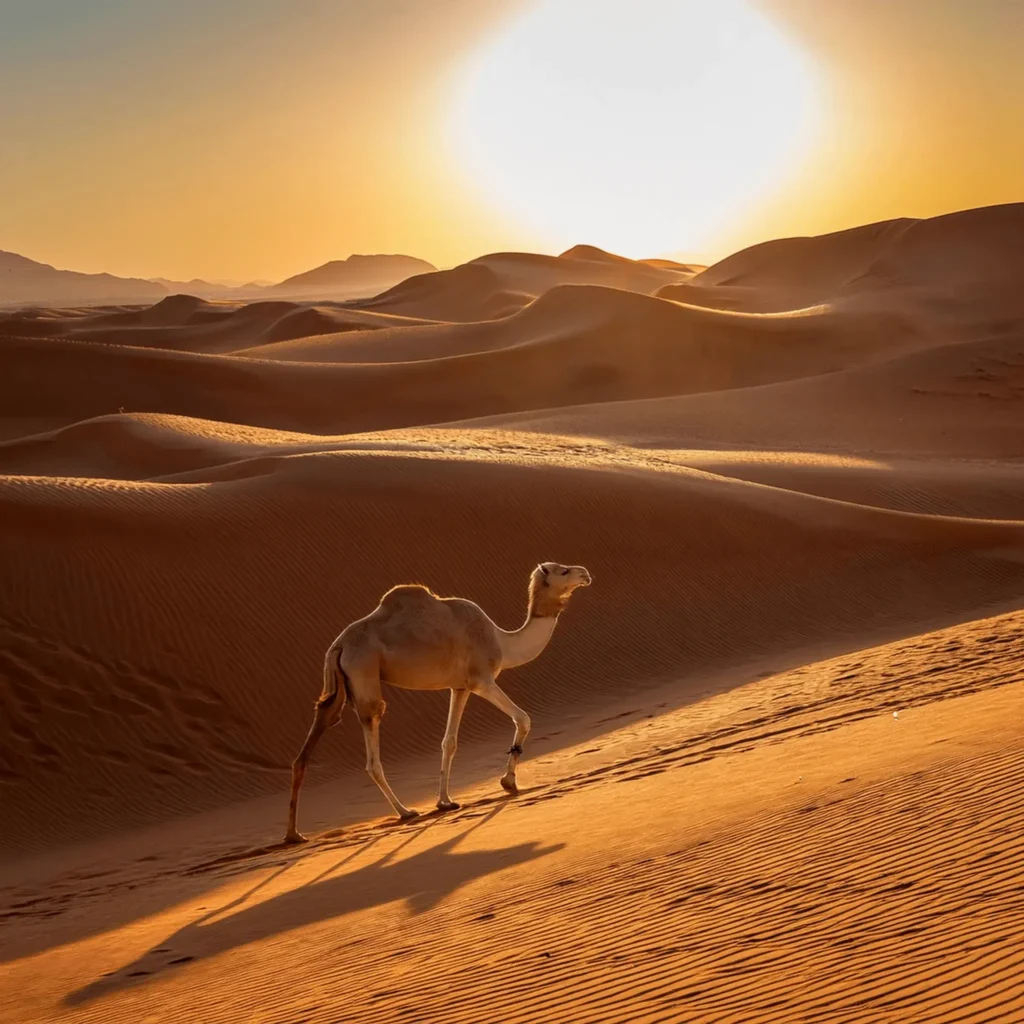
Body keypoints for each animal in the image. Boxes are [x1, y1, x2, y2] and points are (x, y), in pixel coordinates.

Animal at [288, 565, 593, 843]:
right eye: (563, 571)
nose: (585, 573)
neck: (502, 641)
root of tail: (338, 645)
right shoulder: (481, 680)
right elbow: (523, 718)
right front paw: (508, 783)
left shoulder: (460, 687)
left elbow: (450, 742)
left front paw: (445, 801)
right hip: (364, 670)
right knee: (372, 738)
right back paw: (405, 811)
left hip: (339, 682)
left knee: (318, 728)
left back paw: (294, 834)